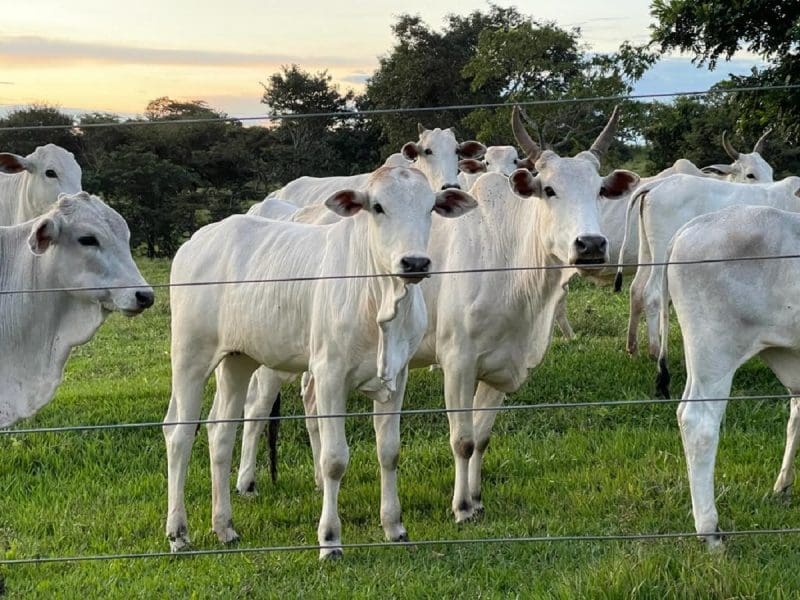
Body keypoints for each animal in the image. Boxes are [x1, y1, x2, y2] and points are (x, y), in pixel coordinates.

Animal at [163, 166, 477, 559]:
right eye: (377, 206)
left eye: (430, 207)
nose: (415, 262)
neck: (379, 298)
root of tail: (197, 240)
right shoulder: (329, 376)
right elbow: (334, 459)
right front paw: (329, 540)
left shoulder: (398, 375)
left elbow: (389, 451)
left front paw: (394, 526)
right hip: (190, 355)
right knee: (179, 433)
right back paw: (178, 532)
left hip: (238, 360)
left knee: (220, 432)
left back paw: (225, 527)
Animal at [615, 173, 800, 359]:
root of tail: (659, 183)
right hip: (661, 252)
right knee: (651, 294)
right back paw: (654, 350)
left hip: (647, 251)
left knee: (636, 289)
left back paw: (633, 347)